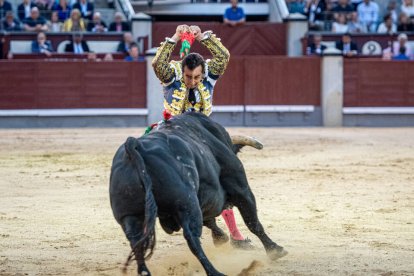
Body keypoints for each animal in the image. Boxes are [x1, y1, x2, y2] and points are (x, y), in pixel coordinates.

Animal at [108, 112, 286, 276]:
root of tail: (134, 145)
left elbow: (211, 220)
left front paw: (220, 238)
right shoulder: (240, 188)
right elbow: (253, 222)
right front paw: (275, 250)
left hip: (129, 216)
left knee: (136, 242)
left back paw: (145, 272)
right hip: (187, 205)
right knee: (192, 237)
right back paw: (215, 272)